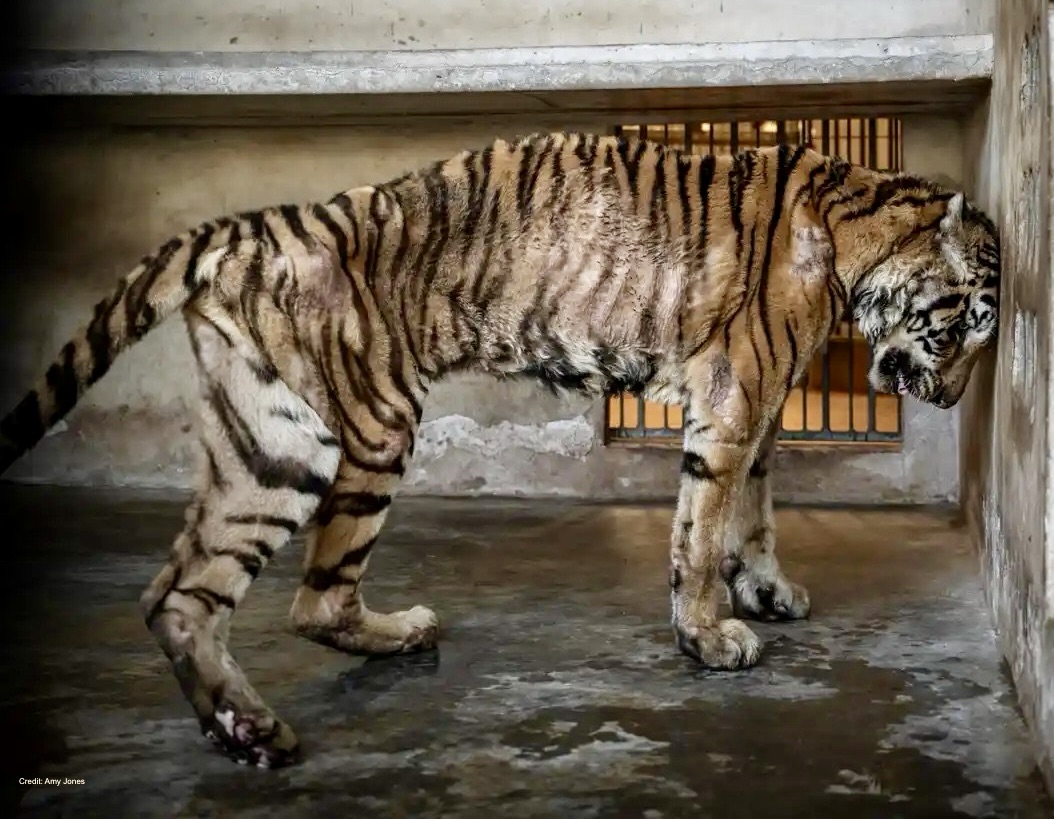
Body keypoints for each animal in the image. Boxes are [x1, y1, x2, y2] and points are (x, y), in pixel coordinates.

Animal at [0, 131, 1000, 768]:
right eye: (962, 326)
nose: (951, 397)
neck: (858, 233)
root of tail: (258, 224)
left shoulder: (760, 407)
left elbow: (753, 510)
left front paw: (766, 591)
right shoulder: (733, 395)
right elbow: (702, 523)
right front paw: (710, 635)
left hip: (267, 443)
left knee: (192, 595)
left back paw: (266, 716)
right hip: (356, 430)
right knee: (293, 598)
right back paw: (298, 705)